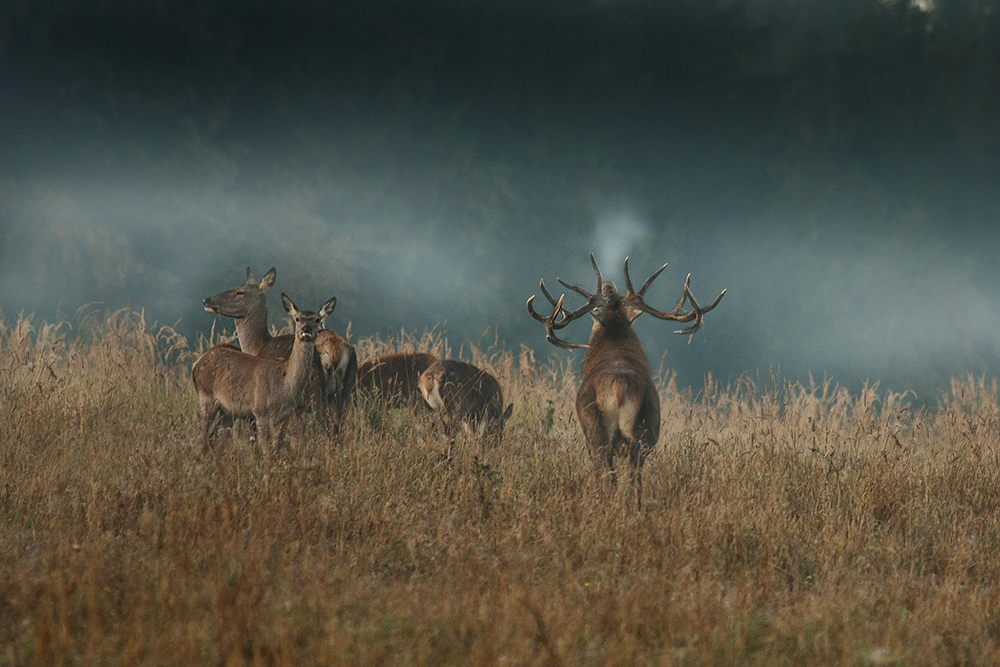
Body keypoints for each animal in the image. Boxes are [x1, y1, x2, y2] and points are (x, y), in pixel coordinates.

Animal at [193, 294, 338, 456]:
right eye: (297, 318)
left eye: (317, 319)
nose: (306, 329)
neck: (284, 386)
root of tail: (197, 364)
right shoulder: (260, 410)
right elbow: (266, 448)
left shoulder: (284, 415)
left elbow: (276, 447)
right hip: (206, 396)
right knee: (202, 436)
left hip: (227, 410)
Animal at [203, 268, 360, 430]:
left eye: (240, 292)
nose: (207, 300)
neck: (258, 346)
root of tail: (335, 350)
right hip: (347, 390)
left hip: (315, 394)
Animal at [528, 253, 724, 508]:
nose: (609, 285)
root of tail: (618, 386)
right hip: (637, 433)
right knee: (628, 477)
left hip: (602, 431)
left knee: (613, 476)